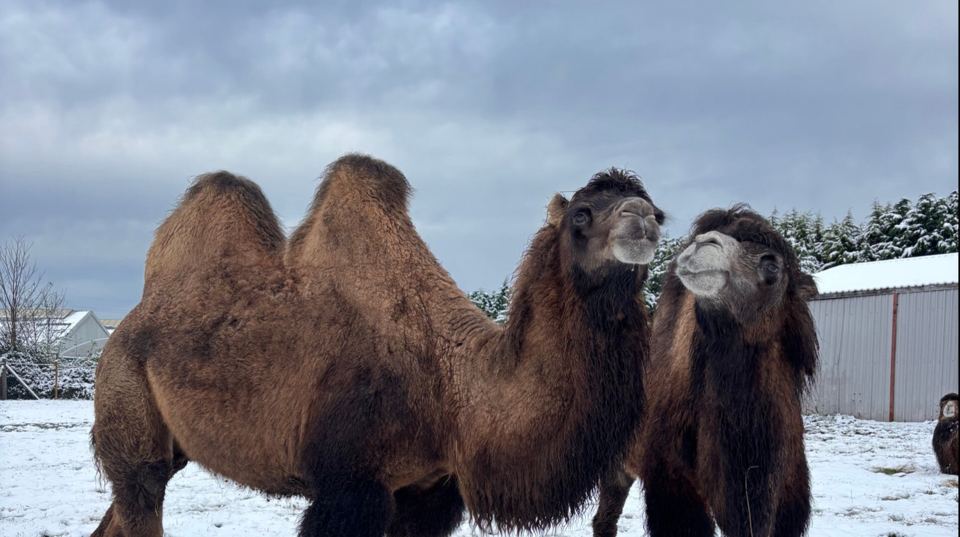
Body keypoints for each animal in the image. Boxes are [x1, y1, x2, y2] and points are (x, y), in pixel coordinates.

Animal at [90, 155, 663, 537]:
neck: (452, 390)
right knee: (141, 489)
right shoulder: (350, 488)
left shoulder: (430, 491)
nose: (642, 219)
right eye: (581, 214)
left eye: (660, 211)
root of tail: (129, 324)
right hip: (127, 402)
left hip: (173, 446)